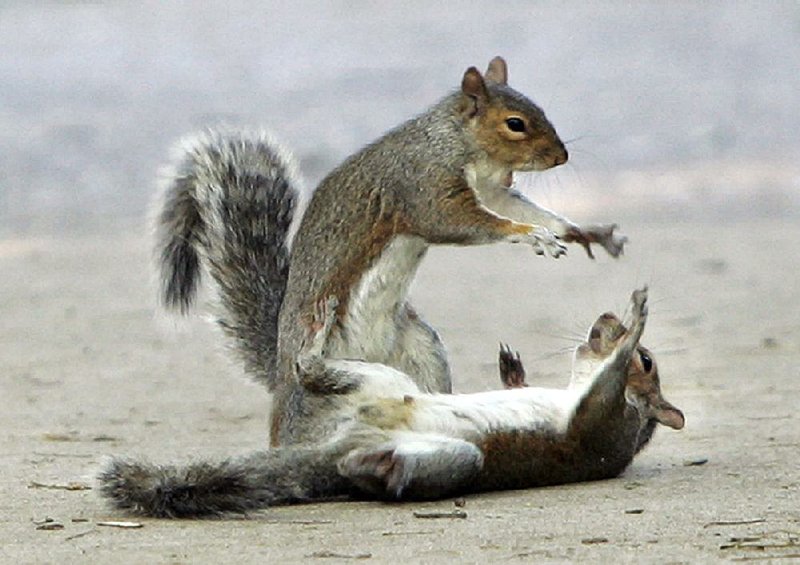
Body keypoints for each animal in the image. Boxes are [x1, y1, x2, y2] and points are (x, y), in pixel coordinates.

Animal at [101, 286, 680, 516]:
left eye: (649, 362)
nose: (605, 318)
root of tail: (340, 450)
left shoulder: (603, 421)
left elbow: (604, 388)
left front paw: (637, 317)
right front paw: (511, 371)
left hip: (441, 441)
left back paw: (374, 460)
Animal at [156, 56, 628, 446]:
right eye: (515, 123)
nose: (561, 156)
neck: (454, 142)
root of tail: (280, 373)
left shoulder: (491, 188)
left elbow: (517, 206)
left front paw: (575, 229)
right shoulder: (423, 188)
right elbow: (462, 221)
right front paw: (531, 234)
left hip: (421, 351)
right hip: (312, 362)